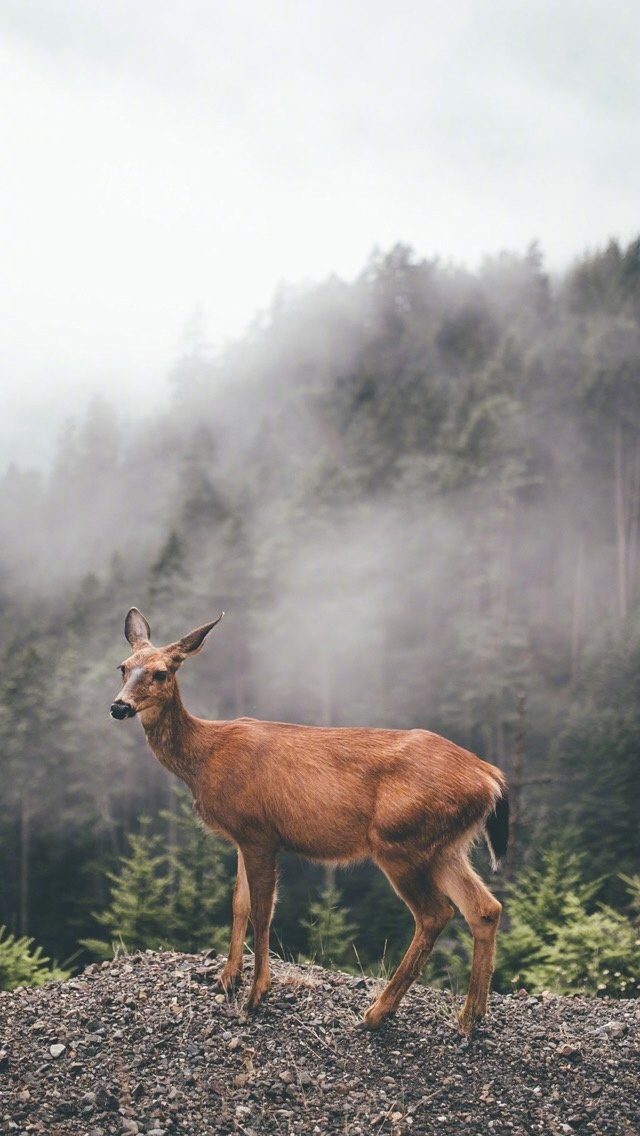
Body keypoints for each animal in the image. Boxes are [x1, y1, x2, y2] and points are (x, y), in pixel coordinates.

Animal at [111, 608, 511, 1036]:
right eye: (123, 667)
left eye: (161, 673)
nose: (119, 707)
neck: (204, 758)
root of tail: (491, 777)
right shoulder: (242, 836)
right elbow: (238, 903)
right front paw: (226, 979)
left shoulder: (259, 832)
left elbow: (262, 910)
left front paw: (257, 993)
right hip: (444, 846)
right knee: (484, 908)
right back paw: (470, 1016)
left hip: (400, 840)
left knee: (436, 914)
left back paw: (378, 1013)